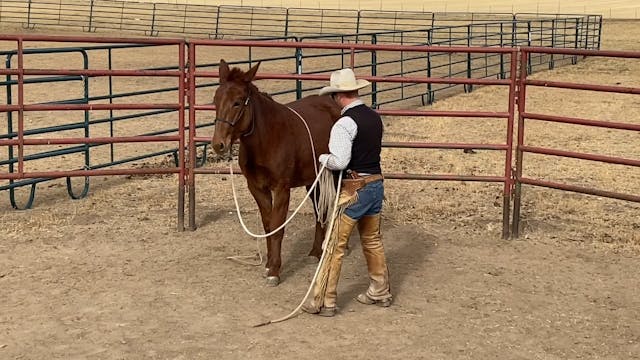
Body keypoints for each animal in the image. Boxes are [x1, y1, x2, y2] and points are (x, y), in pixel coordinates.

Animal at [211, 59, 342, 286]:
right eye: (215, 100)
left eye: (238, 102)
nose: (219, 144)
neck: (267, 138)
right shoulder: (257, 188)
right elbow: (267, 226)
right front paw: (268, 264)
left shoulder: (282, 189)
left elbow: (278, 227)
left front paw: (274, 271)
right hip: (313, 179)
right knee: (320, 210)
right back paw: (315, 252)